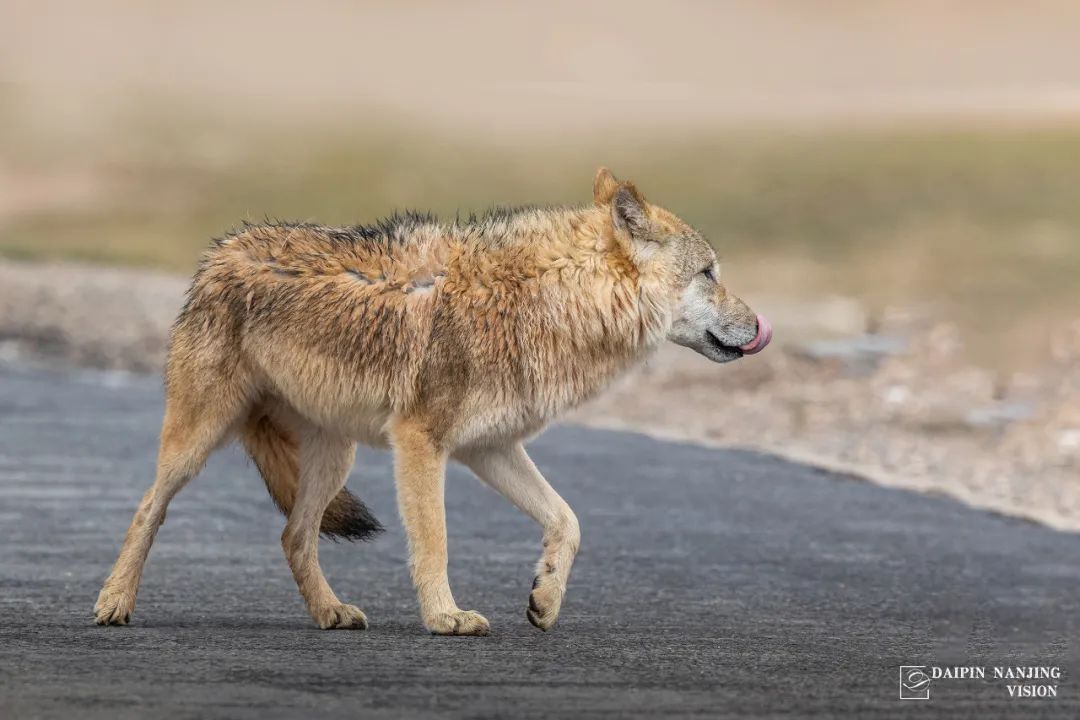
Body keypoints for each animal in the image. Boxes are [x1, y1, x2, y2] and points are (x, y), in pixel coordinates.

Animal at [92, 169, 768, 634]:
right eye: (709, 273)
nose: (760, 324)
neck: (547, 300)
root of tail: (219, 251)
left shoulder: (490, 448)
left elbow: (568, 521)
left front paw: (544, 600)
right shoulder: (421, 442)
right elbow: (435, 542)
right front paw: (446, 618)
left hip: (334, 458)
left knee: (293, 535)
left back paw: (331, 612)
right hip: (197, 440)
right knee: (148, 507)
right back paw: (113, 602)